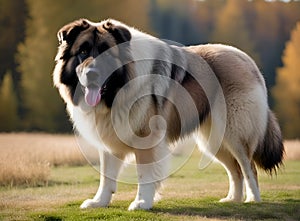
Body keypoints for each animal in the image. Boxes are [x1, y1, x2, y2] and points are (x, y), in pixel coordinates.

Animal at [52, 18, 284, 210]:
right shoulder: (109, 139)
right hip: (214, 141)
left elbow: (144, 174)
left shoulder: (147, 139)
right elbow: (106, 176)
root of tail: (246, 60)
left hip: (234, 135)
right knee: (235, 170)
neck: (119, 88)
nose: (92, 74)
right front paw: (99, 202)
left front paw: (142, 203)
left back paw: (253, 200)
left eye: (107, 52)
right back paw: (232, 200)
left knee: (248, 167)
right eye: (82, 52)